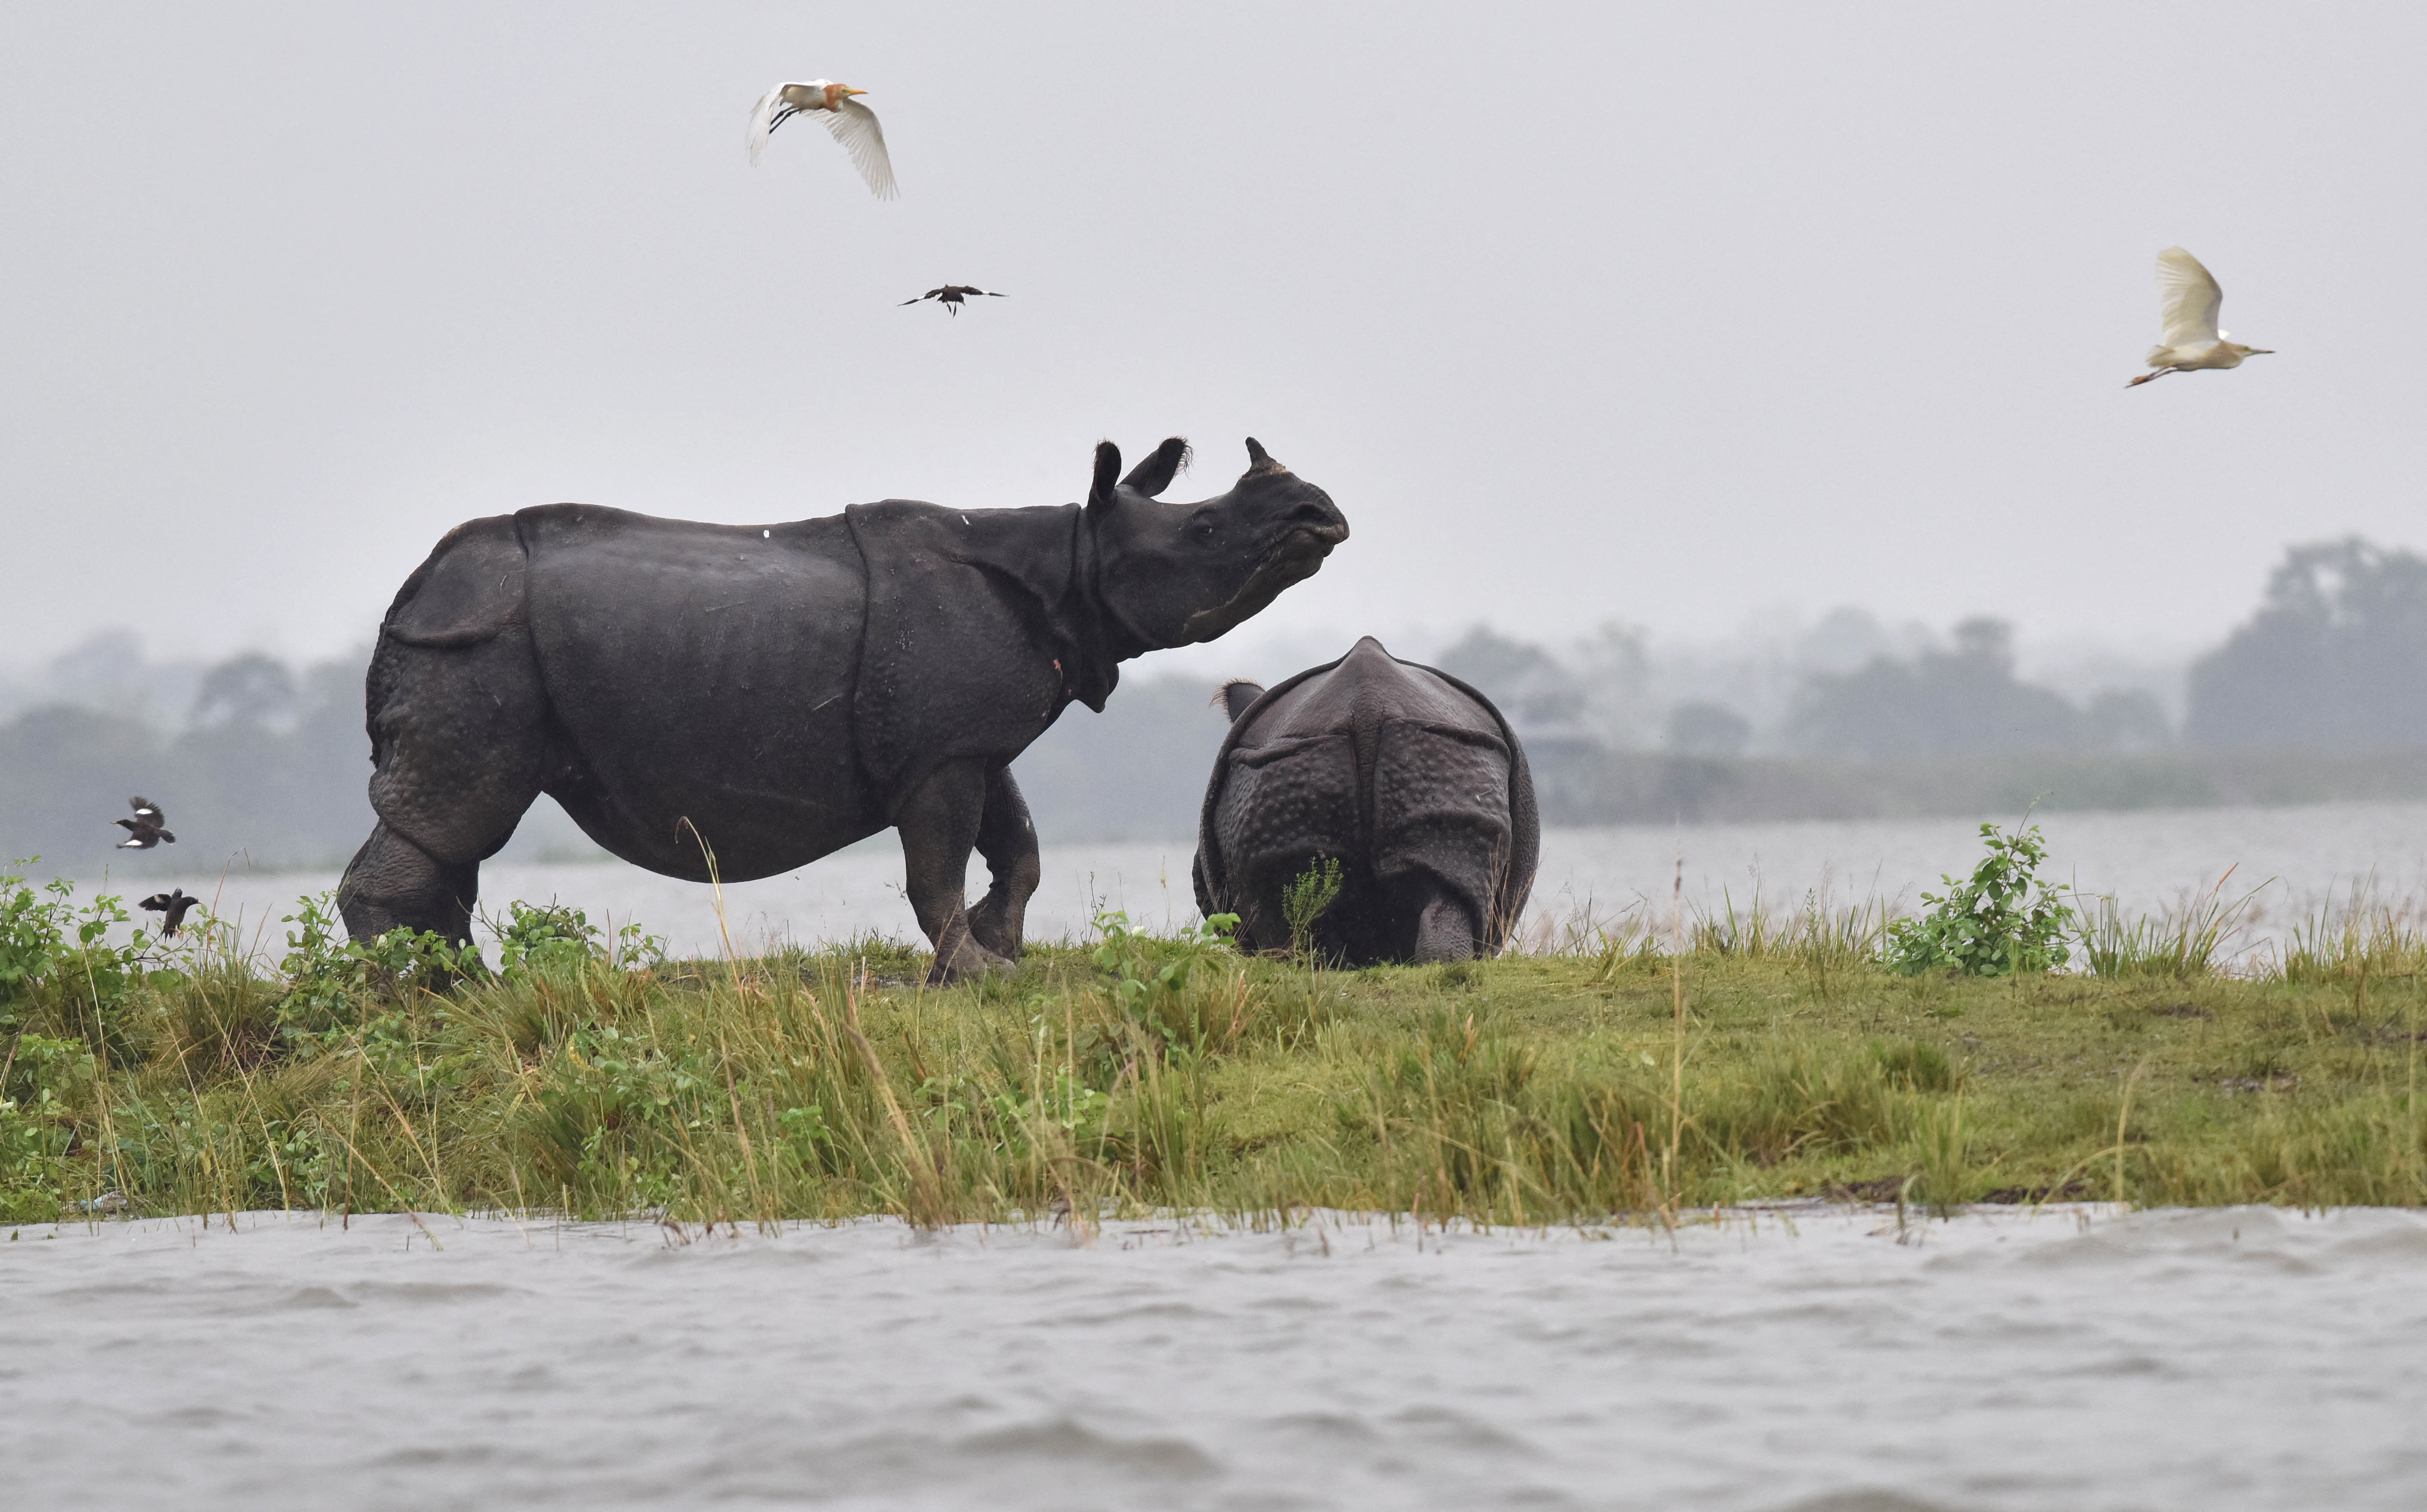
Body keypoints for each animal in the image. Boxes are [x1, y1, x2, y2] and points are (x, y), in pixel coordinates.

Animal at [336, 437, 1347, 981]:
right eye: (1203, 530)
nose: (1317, 514)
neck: (1074, 556)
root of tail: (405, 594)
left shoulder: (968, 737)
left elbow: (1018, 847)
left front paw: (1001, 949)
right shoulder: (939, 750)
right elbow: (935, 867)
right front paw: (973, 971)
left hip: (477, 636)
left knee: (454, 831)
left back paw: (456, 984)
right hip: (478, 641)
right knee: (457, 812)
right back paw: (441, 996)